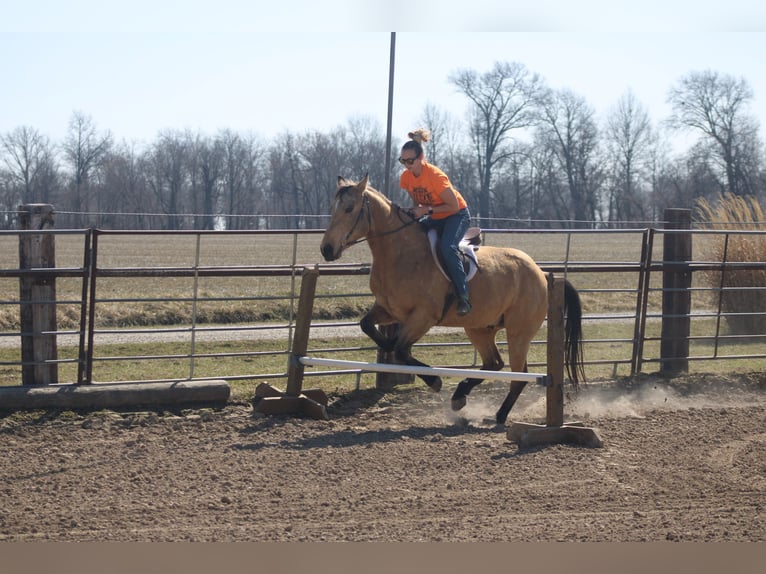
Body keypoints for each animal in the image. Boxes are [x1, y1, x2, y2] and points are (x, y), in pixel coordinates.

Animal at [320, 174, 584, 424]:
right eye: (333, 208)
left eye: (349, 209)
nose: (327, 249)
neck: (401, 253)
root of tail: (542, 274)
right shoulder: (388, 310)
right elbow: (370, 328)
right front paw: (389, 346)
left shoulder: (423, 317)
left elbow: (402, 350)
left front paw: (435, 381)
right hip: (480, 328)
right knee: (494, 363)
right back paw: (460, 396)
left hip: (518, 332)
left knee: (519, 375)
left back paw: (498, 415)